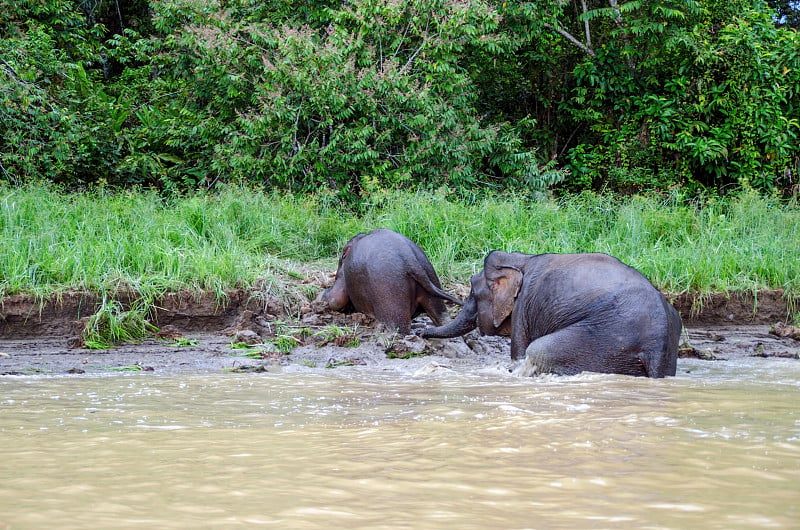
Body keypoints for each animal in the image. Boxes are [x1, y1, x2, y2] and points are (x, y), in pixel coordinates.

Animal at [314, 228, 462, 334]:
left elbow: (335, 300)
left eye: (342, 256)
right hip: (430, 280)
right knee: (443, 318)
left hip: (391, 300)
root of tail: (409, 257)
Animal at [418, 251, 680, 376]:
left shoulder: (523, 306)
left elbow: (520, 351)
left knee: (539, 350)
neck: (521, 258)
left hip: (608, 337)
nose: (421, 333)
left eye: (472, 289)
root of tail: (657, 346)